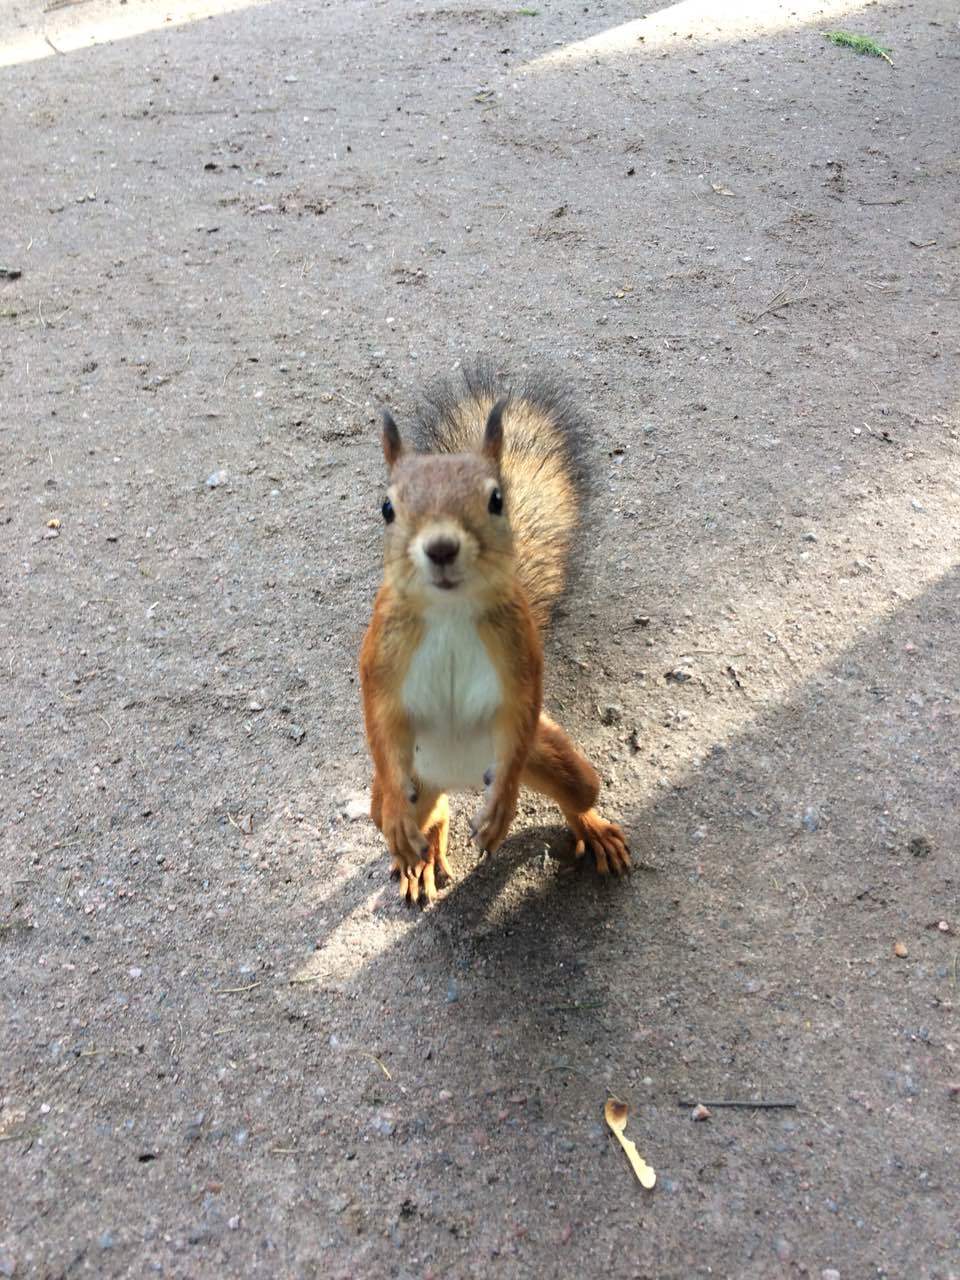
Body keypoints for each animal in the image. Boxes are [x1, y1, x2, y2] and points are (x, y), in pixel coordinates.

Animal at [358, 360, 632, 901]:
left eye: (497, 499)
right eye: (387, 508)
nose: (441, 547)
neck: (450, 609)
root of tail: (455, 779)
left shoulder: (519, 650)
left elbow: (524, 699)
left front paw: (504, 809)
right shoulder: (381, 651)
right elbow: (378, 713)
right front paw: (404, 825)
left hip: (550, 756)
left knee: (577, 792)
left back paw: (592, 827)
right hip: (411, 780)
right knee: (426, 813)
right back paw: (422, 852)